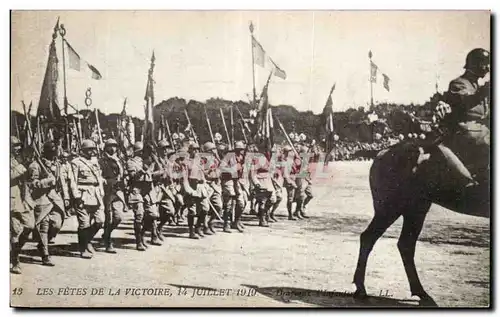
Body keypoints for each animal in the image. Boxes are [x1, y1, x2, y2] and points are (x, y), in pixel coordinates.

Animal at [354, 139, 490, 304]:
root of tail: (384, 152)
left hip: (415, 209)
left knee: (404, 244)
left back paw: (420, 292)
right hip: (393, 208)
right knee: (370, 238)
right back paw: (362, 289)